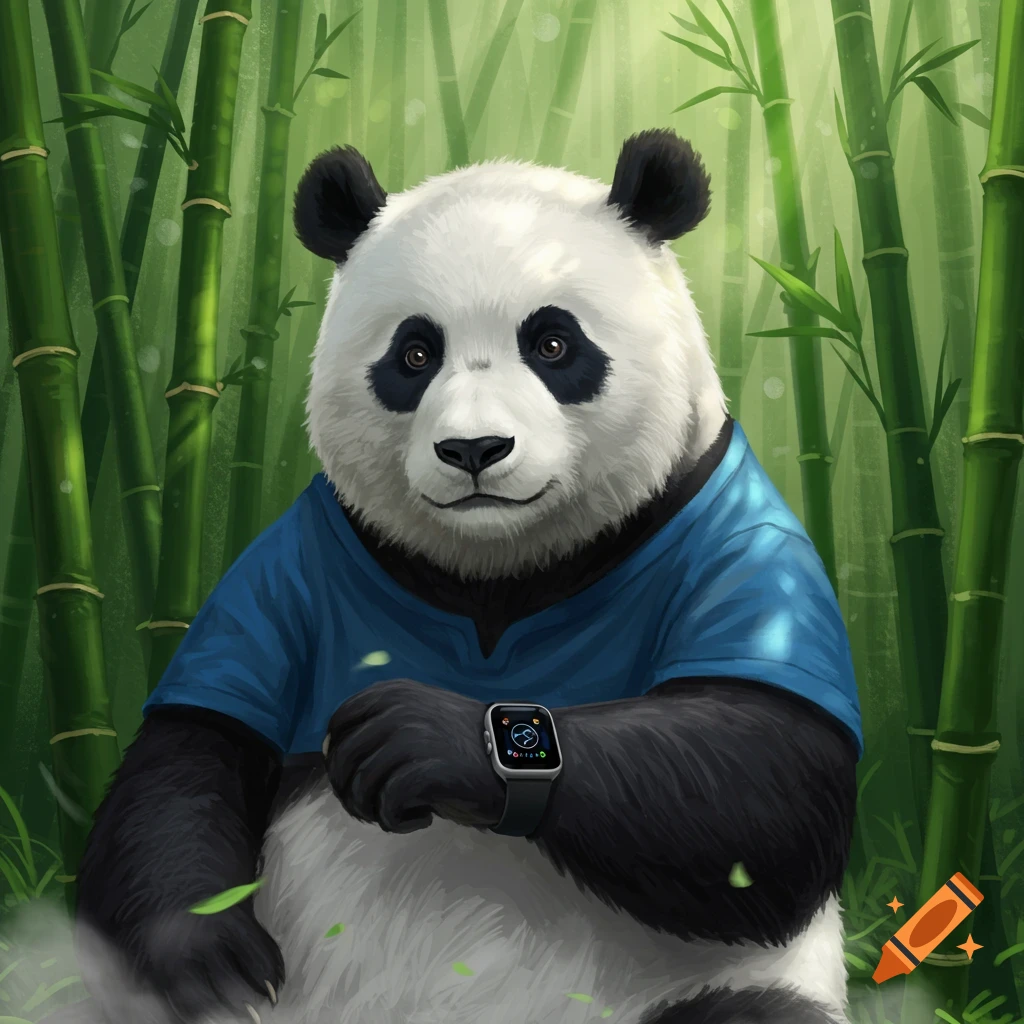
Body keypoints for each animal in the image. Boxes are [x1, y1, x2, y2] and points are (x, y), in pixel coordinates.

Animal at [71, 129, 861, 1024]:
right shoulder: (297, 560)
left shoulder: (735, 531)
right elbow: (189, 756)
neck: (497, 570)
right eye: (415, 353)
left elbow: (766, 796)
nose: (474, 449)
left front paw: (421, 737)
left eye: (552, 344)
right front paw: (212, 965)